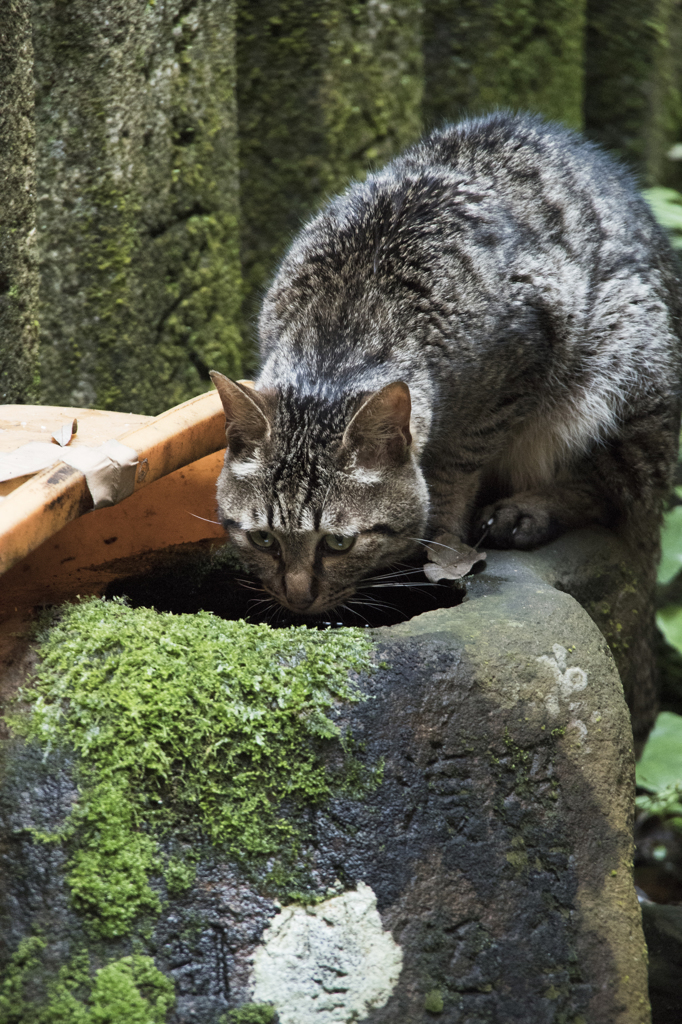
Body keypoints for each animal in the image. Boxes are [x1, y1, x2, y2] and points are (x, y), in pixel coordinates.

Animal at [210, 112, 679, 749]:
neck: (338, 334)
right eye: (262, 539)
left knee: (614, 493)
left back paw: (527, 510)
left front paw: (444, 542)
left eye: (339, 544)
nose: (298, 597)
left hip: (624, 370)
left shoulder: (517, 367)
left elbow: (458, 467)